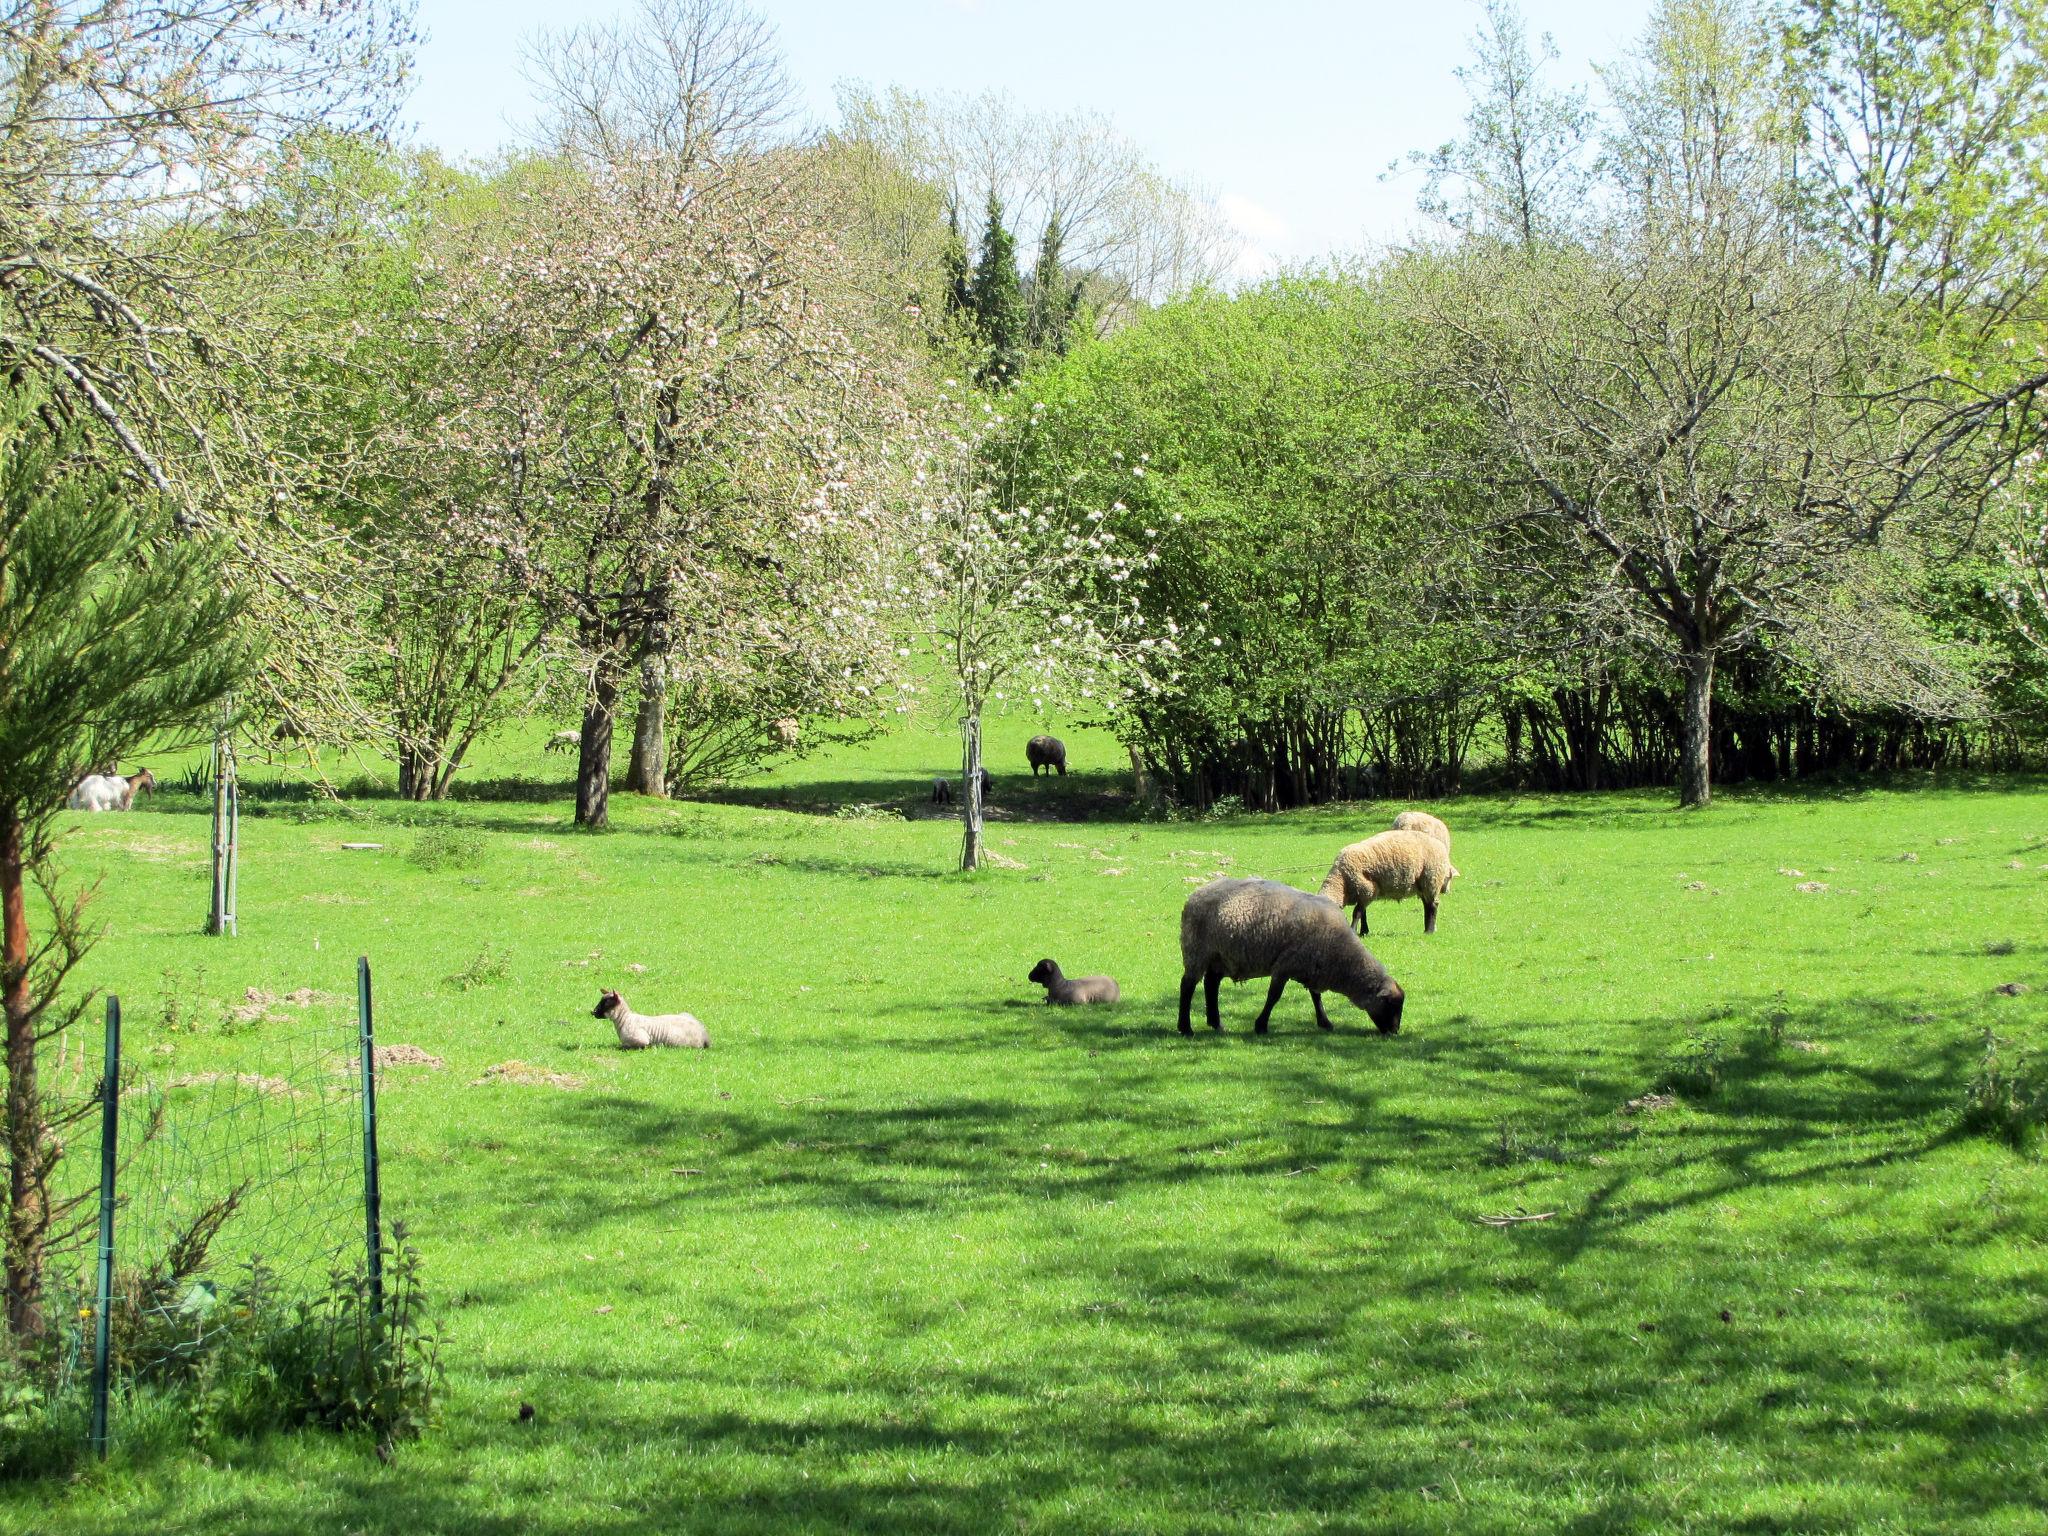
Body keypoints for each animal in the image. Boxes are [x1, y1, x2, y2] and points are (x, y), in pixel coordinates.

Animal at [1179, 884, 1400, 1040]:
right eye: (1390, 1005)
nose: (1395, 1031)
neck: (1340, 954)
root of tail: (1195, 896)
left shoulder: (1312, 965)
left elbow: (1316, 996)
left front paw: (1325, 1022)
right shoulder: (1285, 965)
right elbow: (1273, 997)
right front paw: (1261, 1026)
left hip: (1219, 955)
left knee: (1211, 984)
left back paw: (1216, 1024)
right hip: (1197, 951)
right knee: (1187, 986)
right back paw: (1186, 1028)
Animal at [1327, 831, 1458, 937]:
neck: (1341, 881)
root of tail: (1440, 844)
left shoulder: (1368, 890)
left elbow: (1357, 913)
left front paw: (1354, 930)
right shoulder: (1364, 894)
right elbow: (1363, 913)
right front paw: (1364, 931)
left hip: (1431, 879)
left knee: (1432, 906)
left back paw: (1429, 931)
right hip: (1422, 884)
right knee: (1427, 905)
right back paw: (1426, 929)